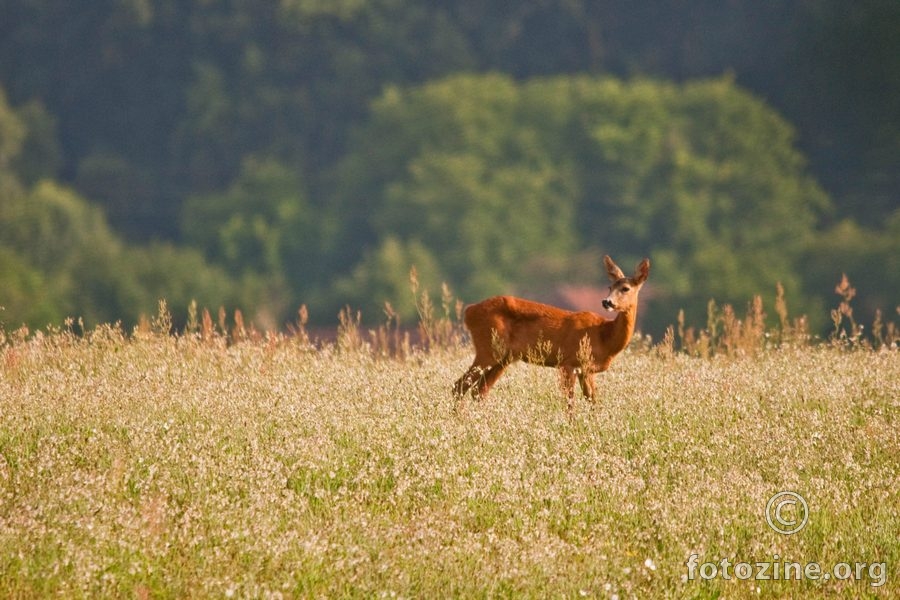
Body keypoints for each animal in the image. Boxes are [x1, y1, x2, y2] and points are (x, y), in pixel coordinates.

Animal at [454, 255, 652, 406]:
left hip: (503, 358)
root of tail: (469, 311)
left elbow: (593, 401)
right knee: (460, 386)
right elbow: (570, 403)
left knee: (479, 390)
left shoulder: (587, 370)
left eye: (625, 288)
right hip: (488, 348)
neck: (604, 337)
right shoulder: (568, 362)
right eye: (610, 287)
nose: (607, 302)